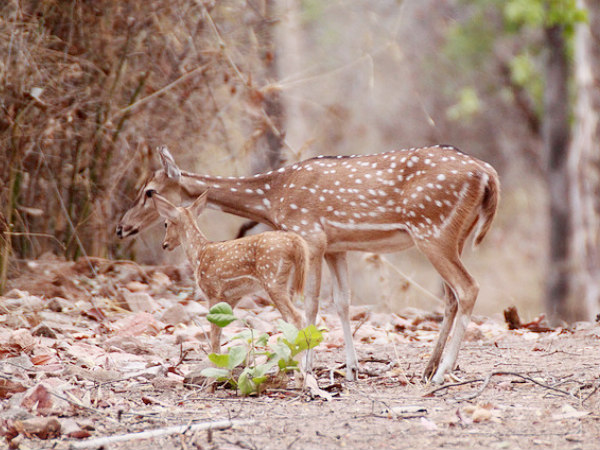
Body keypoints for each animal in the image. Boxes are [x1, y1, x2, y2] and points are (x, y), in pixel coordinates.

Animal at [148, 190, 308, 352]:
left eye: (166, 223)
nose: (165, 244)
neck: (199, 254)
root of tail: (294, 242)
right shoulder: (232, 297)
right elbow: (219, 332)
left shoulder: (212, 292)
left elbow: (214, 335)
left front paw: (214, 357)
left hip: (272, 278)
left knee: (297, 317)